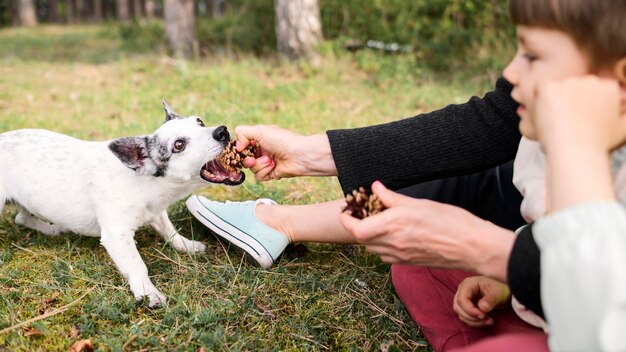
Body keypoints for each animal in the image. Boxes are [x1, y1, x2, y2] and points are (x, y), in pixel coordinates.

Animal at [0, 100, 244, 306]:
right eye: (179, 145)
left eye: (199, 122)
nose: (221, 131)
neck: (146, 182)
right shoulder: (117, 236)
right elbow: (137, 264)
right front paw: (148, 292)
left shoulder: (157, 212)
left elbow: (169, 231)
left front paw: (186, 245)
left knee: (22, 217)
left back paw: (52, 229)